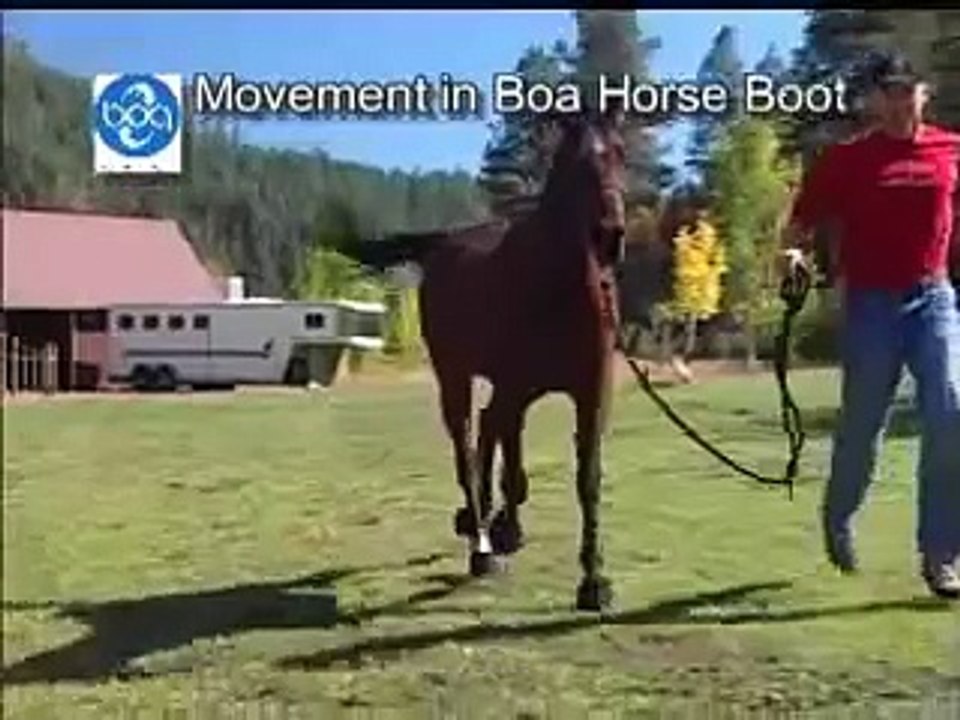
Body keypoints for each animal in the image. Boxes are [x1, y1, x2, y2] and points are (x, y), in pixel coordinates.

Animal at [349, 111, 627, 611]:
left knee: (487, 428)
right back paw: (480, 541)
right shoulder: (515, 388)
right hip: (455, 378)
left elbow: (587, 479)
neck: (556, 289)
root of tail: (444, 243)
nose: (609, 237)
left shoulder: (591, 392)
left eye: (619, 153)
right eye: (574, 163)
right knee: (467, 442)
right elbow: (508, 464)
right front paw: (500, 533)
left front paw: (594, 580)